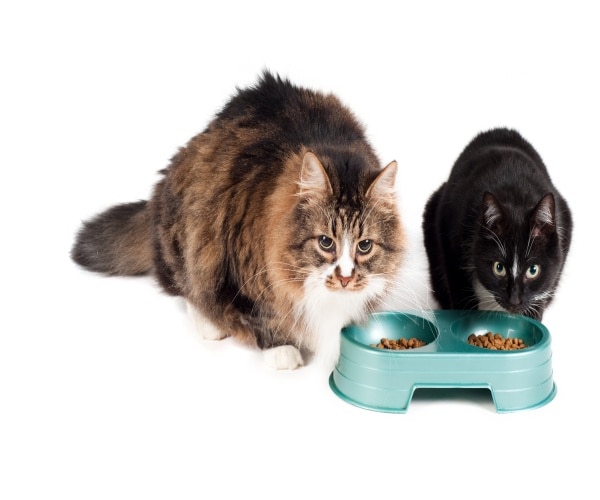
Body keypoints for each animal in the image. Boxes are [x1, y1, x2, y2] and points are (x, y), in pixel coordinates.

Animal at [72, 72, 406, 372]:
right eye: (326, 242)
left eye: (364, 246)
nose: (346, 278)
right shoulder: (239, 269)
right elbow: (263, 316)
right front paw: (281, 351)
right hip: (190, 233)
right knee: (187, 285)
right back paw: (210, 323)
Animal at [422, 126, 572, 320]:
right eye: (498, 268)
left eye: (533, 270)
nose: (515, 300)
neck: (516, 196)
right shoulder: (448, 225)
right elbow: (458, 282)